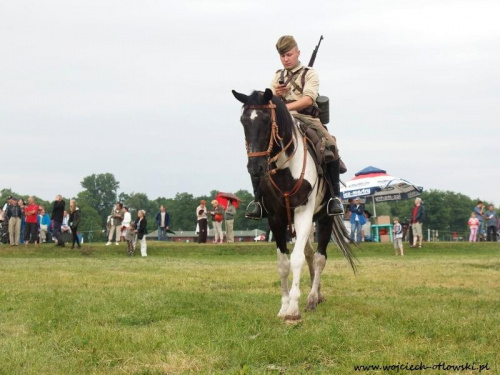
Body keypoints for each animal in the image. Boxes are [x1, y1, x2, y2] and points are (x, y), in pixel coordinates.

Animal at [231, 88, 356, 324]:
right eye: (243, 121)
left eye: (266, 119)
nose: (255, 167)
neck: (286, 171)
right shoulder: (276, 219)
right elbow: (283, 264)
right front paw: (284, 306)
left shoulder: (303, 212)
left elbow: (297, 259)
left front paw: (293, 309)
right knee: (310, 254)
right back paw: (318, 295)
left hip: (324, 218)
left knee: (319, 258)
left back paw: (312, 298)